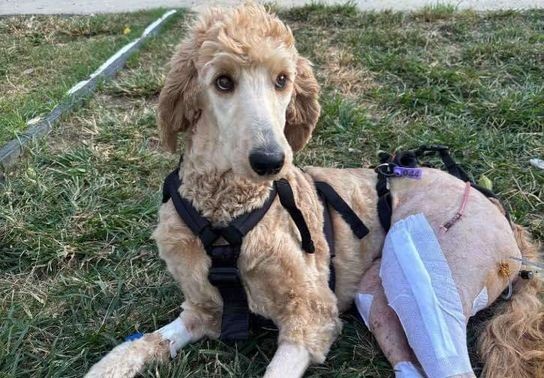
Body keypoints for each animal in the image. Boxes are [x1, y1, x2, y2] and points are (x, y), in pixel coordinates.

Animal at [87, 3, 540, 378]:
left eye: (282, 80)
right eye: (222, 82)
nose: (271, 160)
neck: (227, 211)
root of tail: (498, 212)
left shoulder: (313, 315)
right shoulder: (202, 309)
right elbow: (138, 346)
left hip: (421, 267)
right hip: (376, 296)